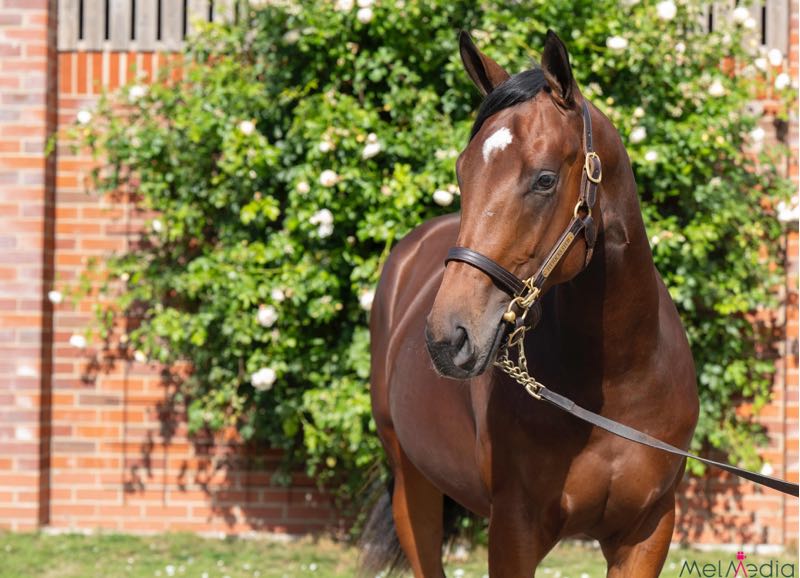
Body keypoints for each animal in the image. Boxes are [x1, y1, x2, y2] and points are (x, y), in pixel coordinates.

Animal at [362, 30, 699, 578]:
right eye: (462, 171)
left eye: (544, 179)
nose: (448, 338)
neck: (620, 381)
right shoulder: (513, 530)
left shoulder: (648, 530)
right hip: (412, 487)